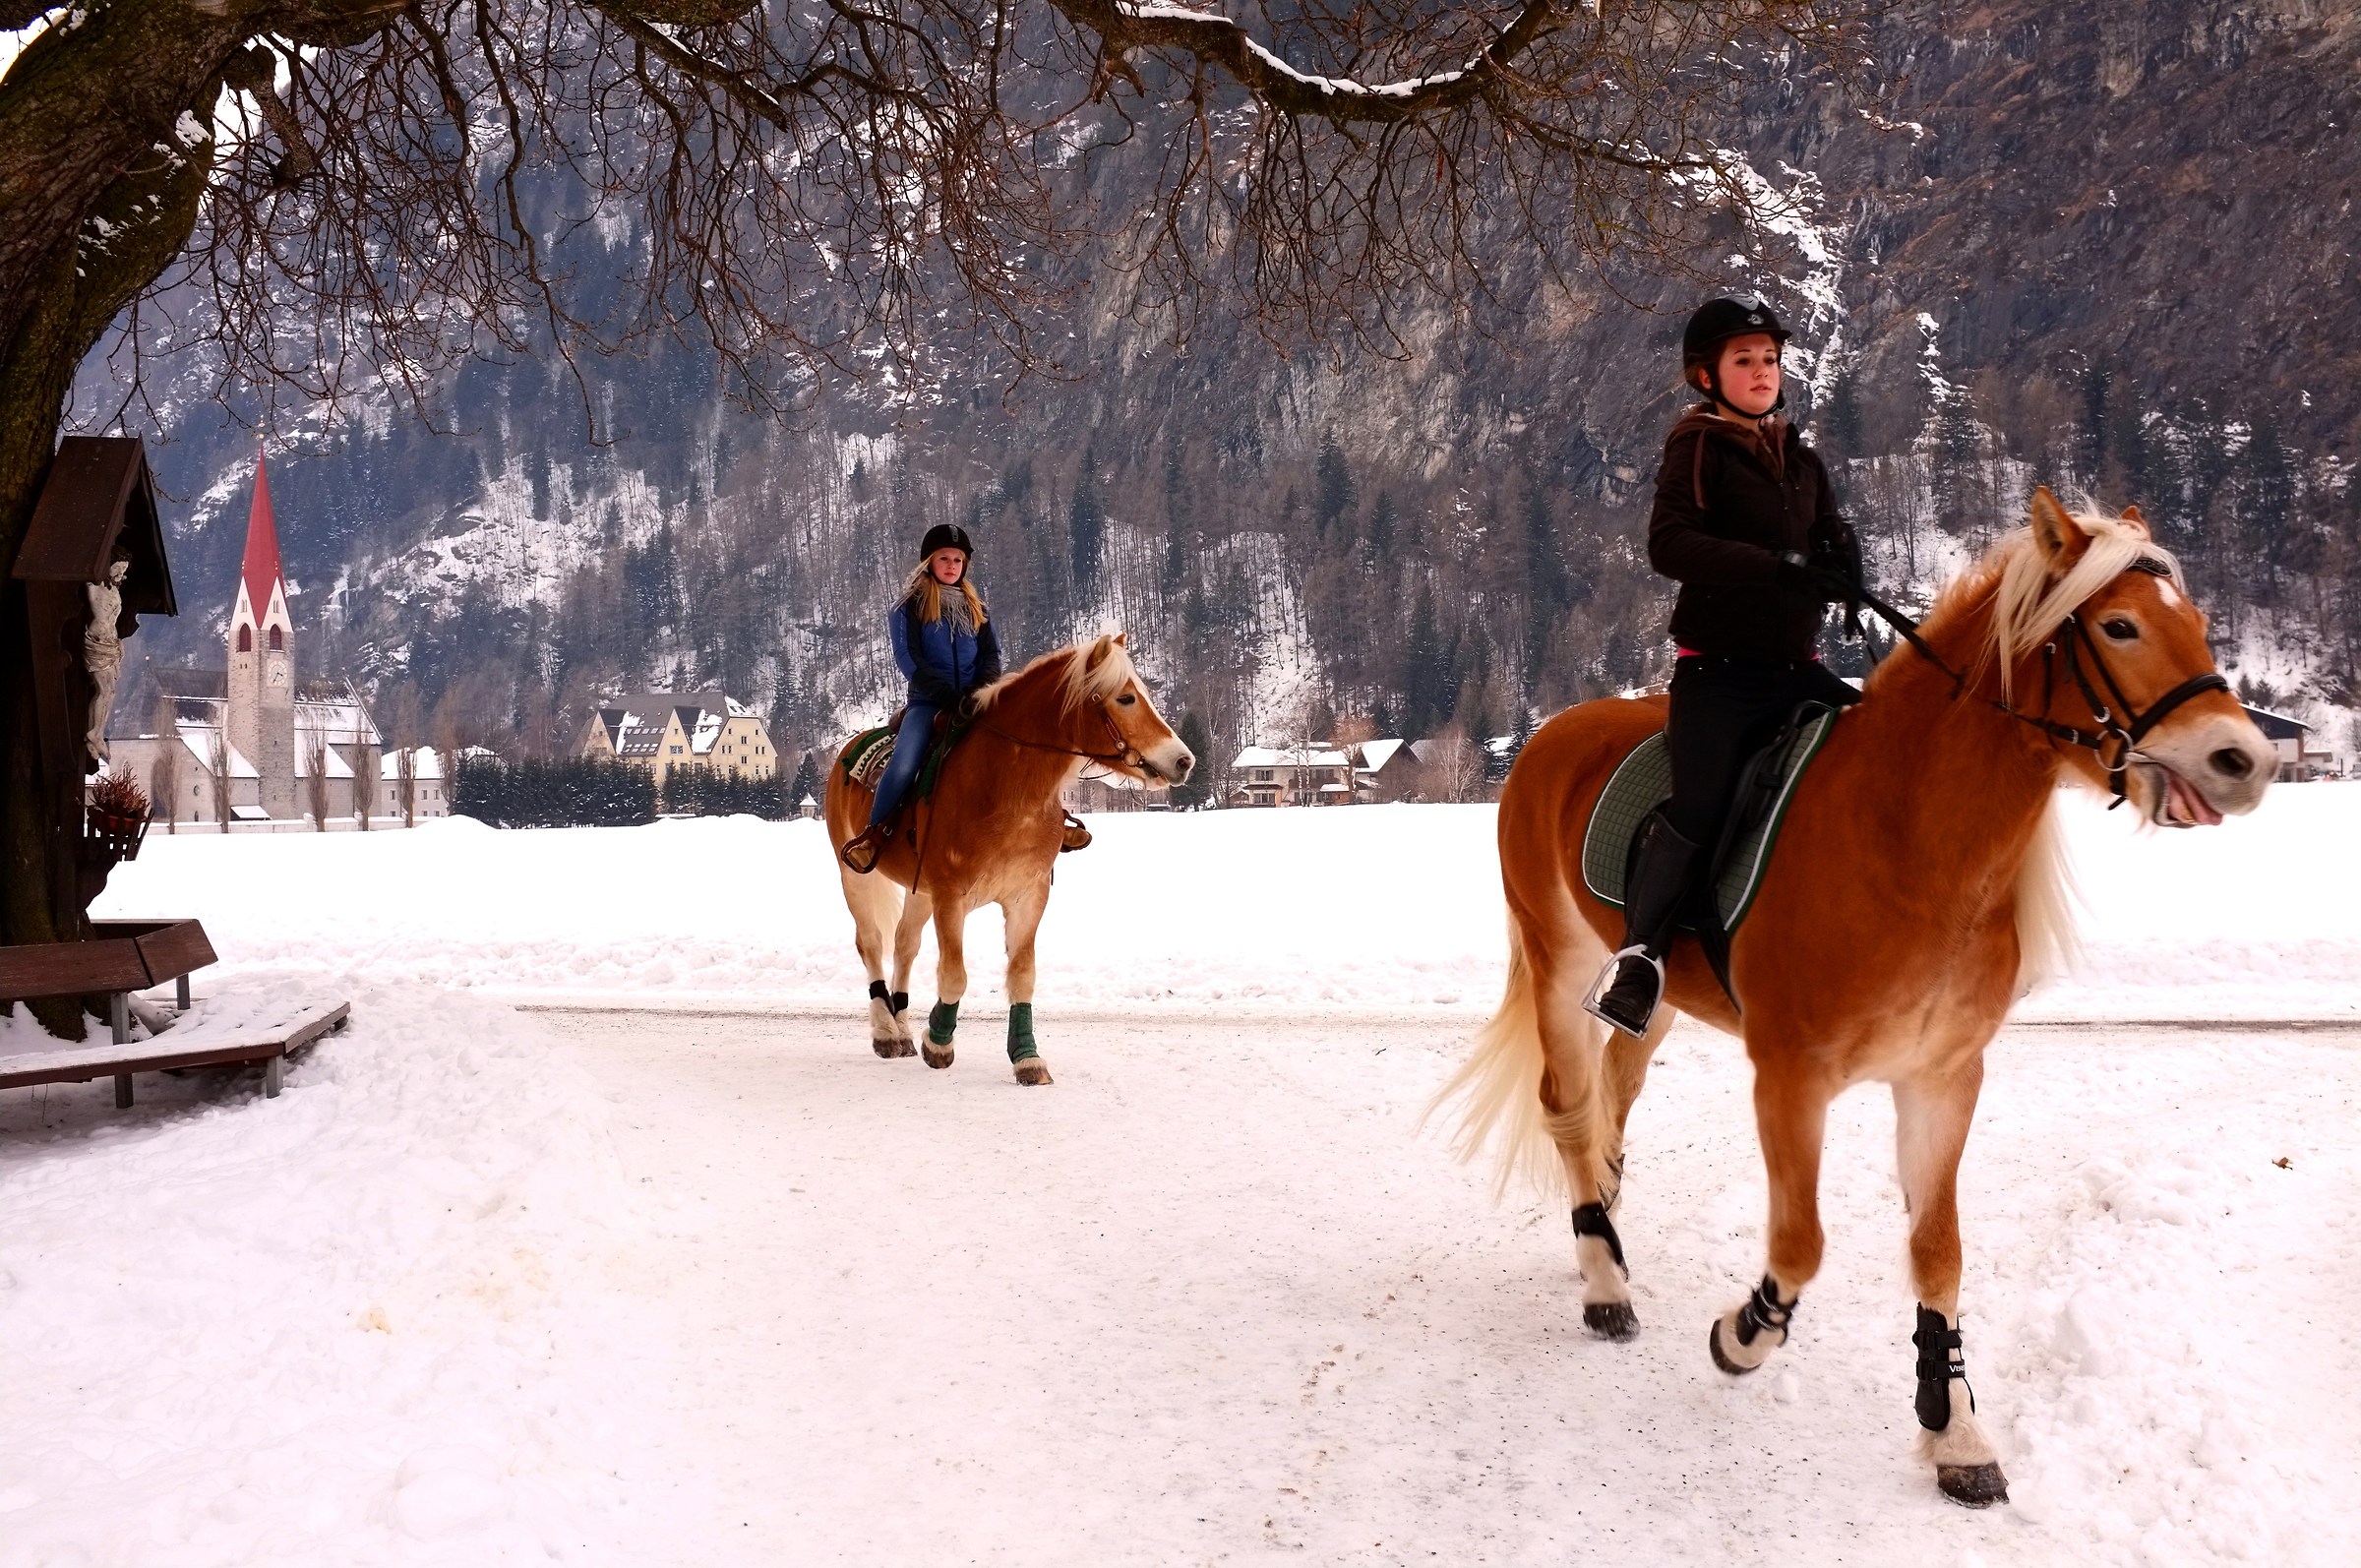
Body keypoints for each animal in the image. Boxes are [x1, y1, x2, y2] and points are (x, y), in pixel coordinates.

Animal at [824, 632, 1194, 1085]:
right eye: (1125, 698)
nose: (1183, 761)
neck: (1005, 787)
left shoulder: (1027, 897)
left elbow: (1022, 977)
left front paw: (1027, 1057)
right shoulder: (950, 898)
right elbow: (954, 975)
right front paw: (939, 1042)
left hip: (918, 891)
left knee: (905, 945)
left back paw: (904, 1027)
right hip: (855, 875)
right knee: (872, 942)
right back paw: (884, 1030)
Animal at [1435, 487, 2275, 1506]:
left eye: (2197, 622)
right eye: (2119, 625)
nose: (2245, 759)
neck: (1905, 837)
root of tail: (1551, 735)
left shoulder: (1943, 1079)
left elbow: (1939, 1252)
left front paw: (1955, 1432)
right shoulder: (1791, 1077)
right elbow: (1800, 1243)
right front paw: (1743, 1336)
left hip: (1652, 989)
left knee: (1613, 1094)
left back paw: (1609, 1228)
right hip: (1555, 956)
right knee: (1566, 1103)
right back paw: (1603, 1281)